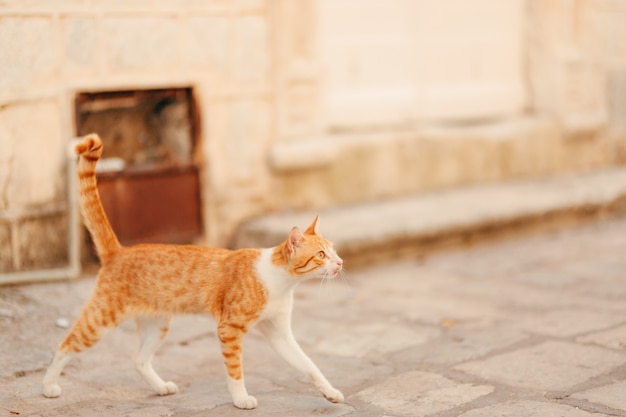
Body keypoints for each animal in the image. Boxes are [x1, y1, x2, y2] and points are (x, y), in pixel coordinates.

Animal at [42, 135, 346, 408]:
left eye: (333, 249)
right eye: (321, 255)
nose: (341, 262)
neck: (281, 283)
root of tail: (119, 250)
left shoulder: (279, 333)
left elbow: (309, 365)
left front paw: (330, 392)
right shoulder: (229, 329)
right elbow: (235, 370)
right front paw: (240, 399)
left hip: (158, 324)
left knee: (139, 360)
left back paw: (160, 387)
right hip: (100, 320)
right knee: (63, 346)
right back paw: (48, 386)